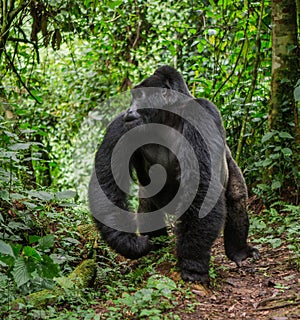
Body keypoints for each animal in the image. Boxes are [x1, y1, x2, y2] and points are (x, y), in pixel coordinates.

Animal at [88, 66, 258, 284]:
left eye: (140, 96)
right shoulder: (121, 124)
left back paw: (238, 251)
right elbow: (106, 182)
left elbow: (203, 186)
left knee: (236, 196)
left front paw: (193, 263)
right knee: (148, 206)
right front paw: (129, 244)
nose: (129, 111)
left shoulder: (202, 112)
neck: (168, 116)